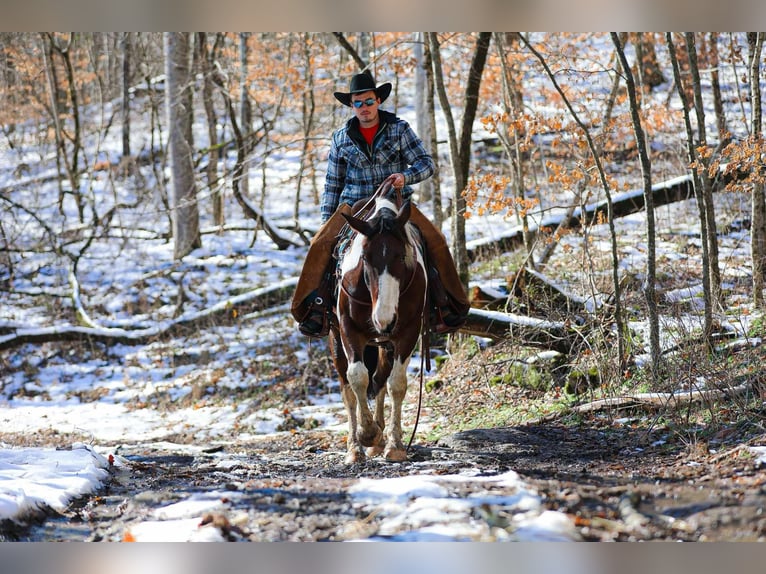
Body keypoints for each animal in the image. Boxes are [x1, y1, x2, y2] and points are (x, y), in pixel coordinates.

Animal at [329, 195, 428, 464]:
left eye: (402, 257)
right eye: (365, 258)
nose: (384, 320)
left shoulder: (408, 332)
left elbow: (397, 384)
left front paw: (394, 445)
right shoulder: (347, 329)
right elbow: (357, 377)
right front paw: (367, 434)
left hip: (385, 344)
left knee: (380, 379)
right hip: (336, 340)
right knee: (347, 389)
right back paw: (355, 449)